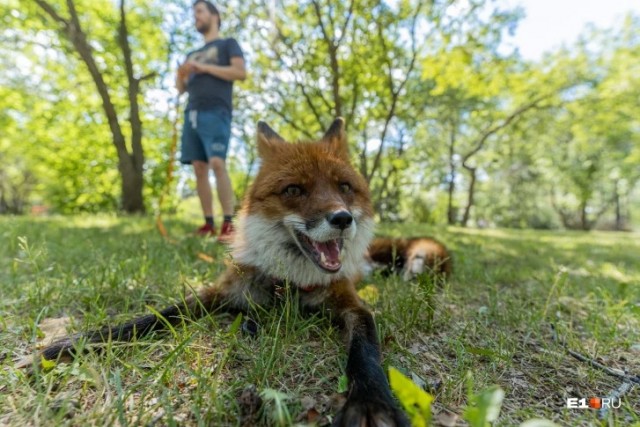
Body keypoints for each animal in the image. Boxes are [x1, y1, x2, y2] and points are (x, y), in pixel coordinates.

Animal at [20, 118, 450, 427]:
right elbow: (151, 317)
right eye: (294, 190)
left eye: (344, 187)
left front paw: (371, 404)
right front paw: (68, 346)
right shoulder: (221, 292)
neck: (289, 284)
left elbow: (366, 354)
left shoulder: (351, 304)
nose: (343, 219)